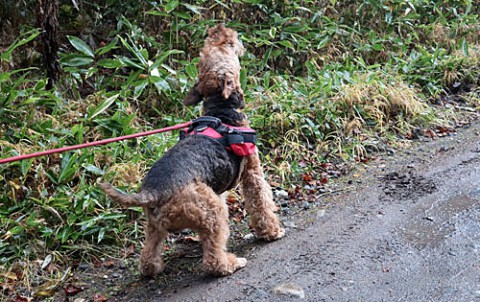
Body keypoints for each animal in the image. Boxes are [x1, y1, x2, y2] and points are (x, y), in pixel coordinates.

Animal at [99, 91, 284, 278]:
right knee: (213, 259)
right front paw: (272, 232)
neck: (220, 111)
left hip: (156, 224)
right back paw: (230, 263)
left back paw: (153, 268)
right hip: (212, 212)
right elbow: (261, 202)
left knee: (148, 255)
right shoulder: (252, 173)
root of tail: (154, 191)